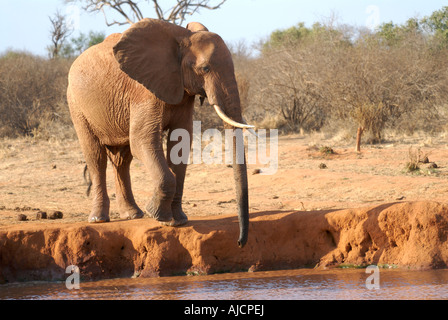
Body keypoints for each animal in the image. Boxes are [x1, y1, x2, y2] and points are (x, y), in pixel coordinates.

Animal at [68, 18, 254, 248]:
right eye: (205, 68)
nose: (239, 242)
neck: (182, 38)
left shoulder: (181, 90)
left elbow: (181, 142)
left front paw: (178, 221)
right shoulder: (144, 91)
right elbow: (142, 141)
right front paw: (158, 216)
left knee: (122, 160)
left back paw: (133, 215)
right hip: (76, 104)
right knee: (96, 156)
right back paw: (99, 219)